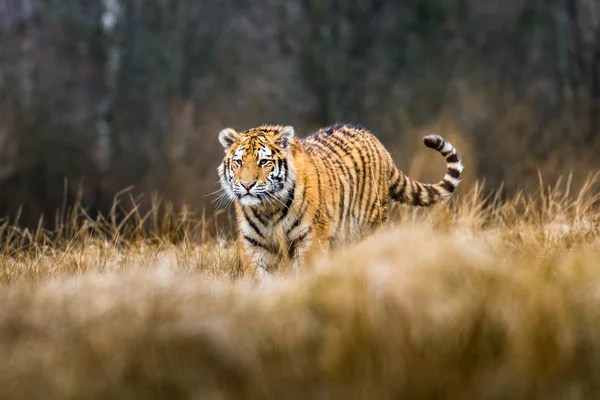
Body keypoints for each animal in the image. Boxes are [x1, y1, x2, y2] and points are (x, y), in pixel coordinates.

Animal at [217, 123, 464, 280]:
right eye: (238, 162)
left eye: (264, 162)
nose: (247, 185)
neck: (268, 208)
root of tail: (381, 147)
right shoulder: (253, 246)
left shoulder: (311, 240)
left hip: (367, 228)